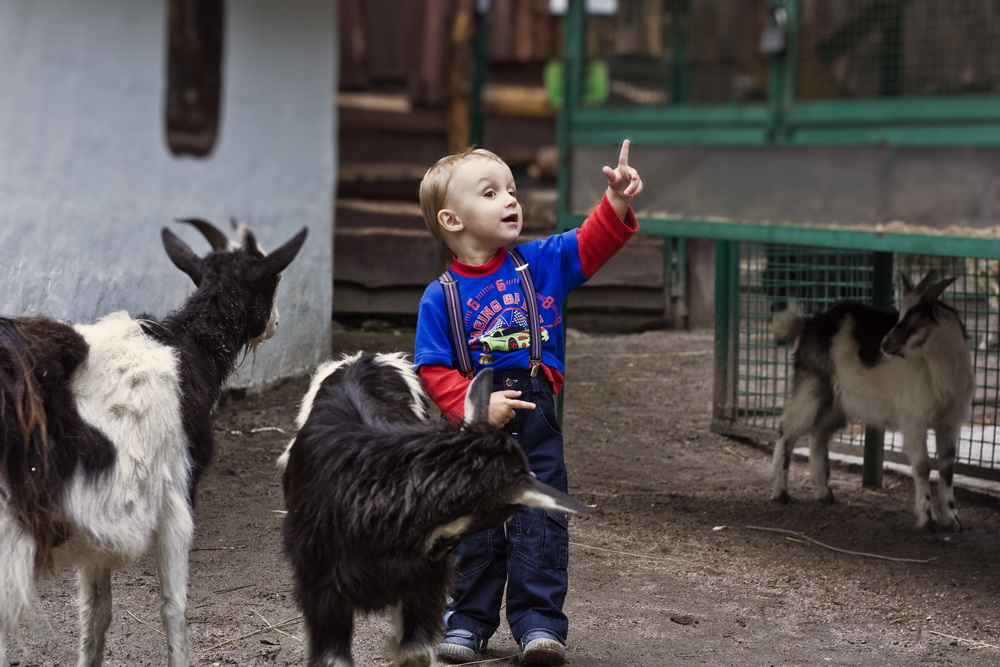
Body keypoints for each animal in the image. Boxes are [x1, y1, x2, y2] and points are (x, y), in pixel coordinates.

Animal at [0, 217, 306, 664]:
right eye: (273, 279)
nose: (277, 323)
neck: (187, 346)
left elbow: (96, 612)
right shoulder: (175, 492)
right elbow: (173, 607)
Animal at [768, 272, 972, 532]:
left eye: (914, 320)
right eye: (900, 314)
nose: (885, 344)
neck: (939, 372)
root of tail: (808, 325)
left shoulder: (950, 422)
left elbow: (947, 468)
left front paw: (952, 519)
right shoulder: (913, 420)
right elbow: (923, 466)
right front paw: (927, 519)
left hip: (837, 404)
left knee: (818, 434)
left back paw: (824, 493)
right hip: (812, 388)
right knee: (787, 430)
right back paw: (780, 493)